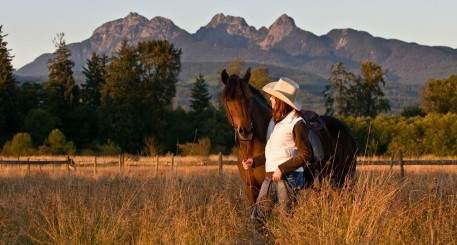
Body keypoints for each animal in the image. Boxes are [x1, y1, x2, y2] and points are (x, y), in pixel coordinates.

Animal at [221, 67, 356, 205]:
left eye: (250, 98)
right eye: (228, 100)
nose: (246, 131)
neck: (251, 148)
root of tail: (346, 131)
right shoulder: (251, 189)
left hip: (344, 177)